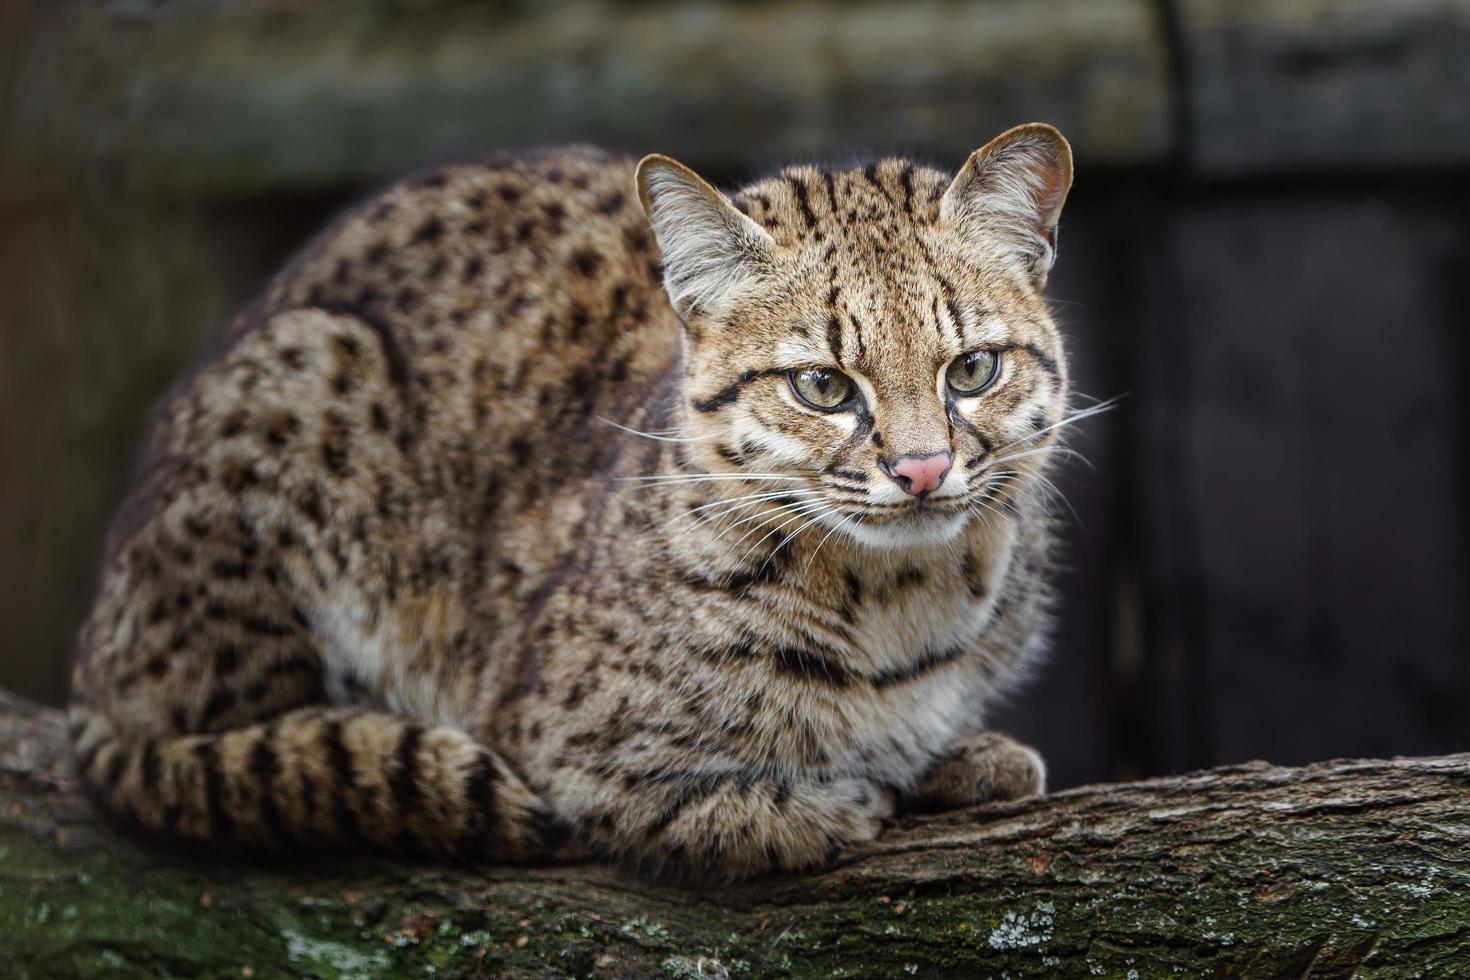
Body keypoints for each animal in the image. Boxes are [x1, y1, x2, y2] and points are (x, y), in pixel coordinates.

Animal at [69, 122, 1081, 881]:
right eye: (824, 386)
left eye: (973, 369)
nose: (923, 470)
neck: (903, 601)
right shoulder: (564, 742)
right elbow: (716, 810)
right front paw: (825, 798)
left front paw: (965, 756)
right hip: (304, 384)